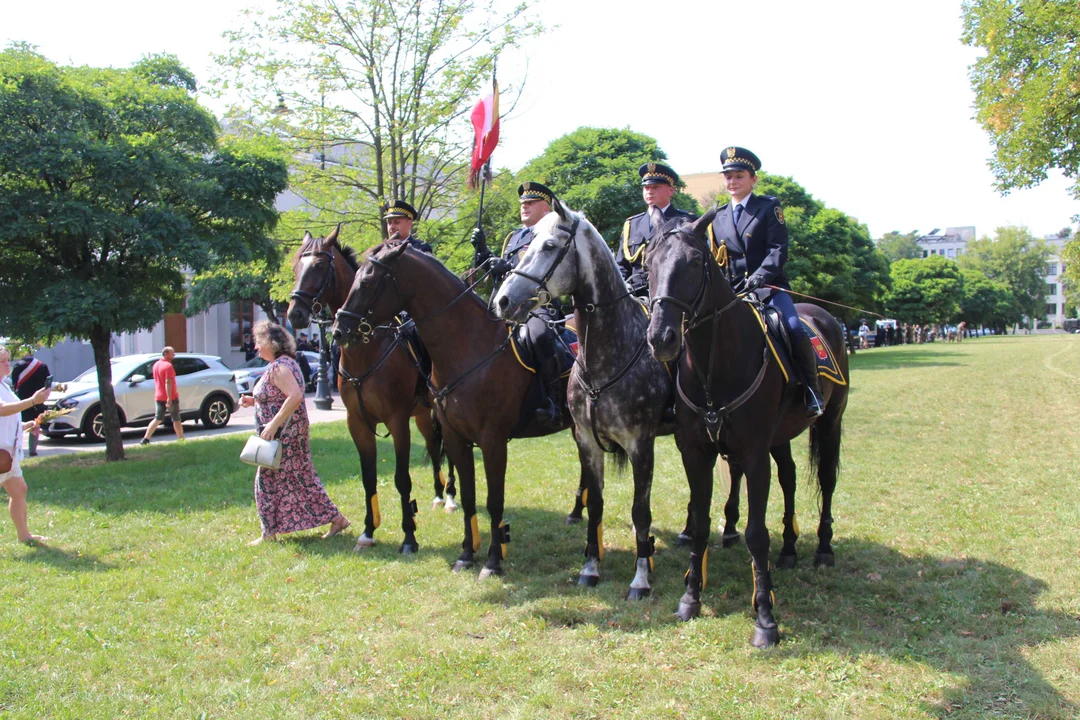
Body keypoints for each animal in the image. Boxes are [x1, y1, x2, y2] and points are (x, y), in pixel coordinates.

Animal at [285, 227, 453, 557]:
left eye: (319, 266)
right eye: (297, 265)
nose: (295, 314)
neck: (367, 348)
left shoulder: (397, 421)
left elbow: (402, 479)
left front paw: (409, 537)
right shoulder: (358, 423)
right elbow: (368, 477)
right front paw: (368, 531)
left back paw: (451, 497)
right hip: (423, 415)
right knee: (433, 446)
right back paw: (439, 494)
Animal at [332, 241, 583, 578]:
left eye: (368, 282)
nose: (339, 330)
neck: (468, 345)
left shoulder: (492, 440)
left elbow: (493, 500)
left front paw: (492, 561)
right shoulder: (454, 436)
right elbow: (468, 496)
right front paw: (466, 553)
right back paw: (577, 513)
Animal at [492, 205, 673, 600]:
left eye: (548, 245)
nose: (502, 301)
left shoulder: (641, 445)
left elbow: (640, 510)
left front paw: (640, 579)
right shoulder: (588, 442)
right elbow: (598, 504)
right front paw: (590, 568)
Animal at [643, 211, 846, 651]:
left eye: (694, 263)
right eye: (648, 264)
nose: (661, 337)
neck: (713, 363)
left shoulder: (753, 454)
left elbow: (756, 534)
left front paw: (766, 619)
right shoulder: (696, 451)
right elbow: (700, 524)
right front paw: (690, 599)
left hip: (830, 422)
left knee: (825, 480)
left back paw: (823, 549)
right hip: (781, 437)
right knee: (789, 478)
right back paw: (789, 549)